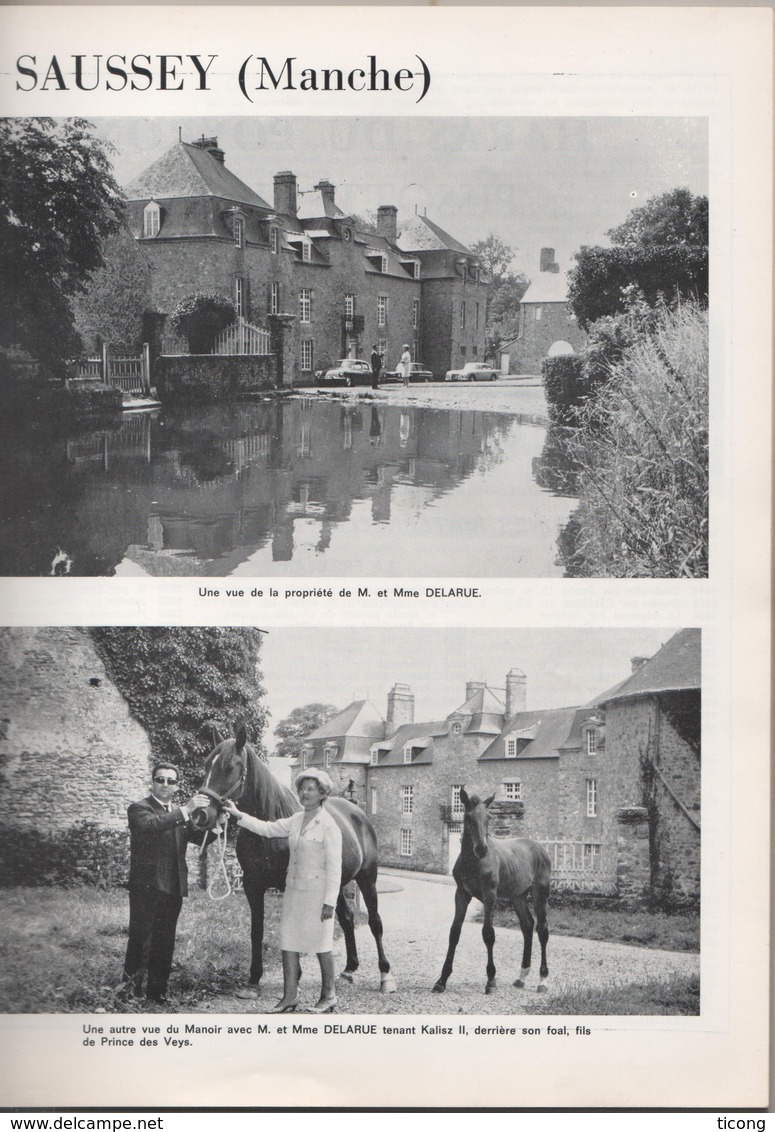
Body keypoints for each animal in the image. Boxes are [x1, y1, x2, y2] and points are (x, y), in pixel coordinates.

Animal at [194, 724, 393, 1000]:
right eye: (206, 764)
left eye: (230, 766)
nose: (200, 814)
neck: (269, 828)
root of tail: (358, 812)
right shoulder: (252, 887)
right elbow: (257, 931)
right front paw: (253, 980)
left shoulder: (288, 886)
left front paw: (294, 977)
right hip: (336, 884)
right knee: (347, 917)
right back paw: (349, 969)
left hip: (367, 878)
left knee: (375, 922)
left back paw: (385, 975)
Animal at [429, 792, 549, 996]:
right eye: (468, 817)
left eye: (489, 818)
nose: (481, 849)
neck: (473, 863)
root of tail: (540, 849)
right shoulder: (461, 894)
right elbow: (454, 932)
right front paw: (441, 980)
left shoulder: (489, 896)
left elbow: (488, 933)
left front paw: (491, 981)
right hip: (518, 897)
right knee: (527, 926)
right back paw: (521, 977)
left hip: (540, 894)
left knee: (542, 929)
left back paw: (543, 980)